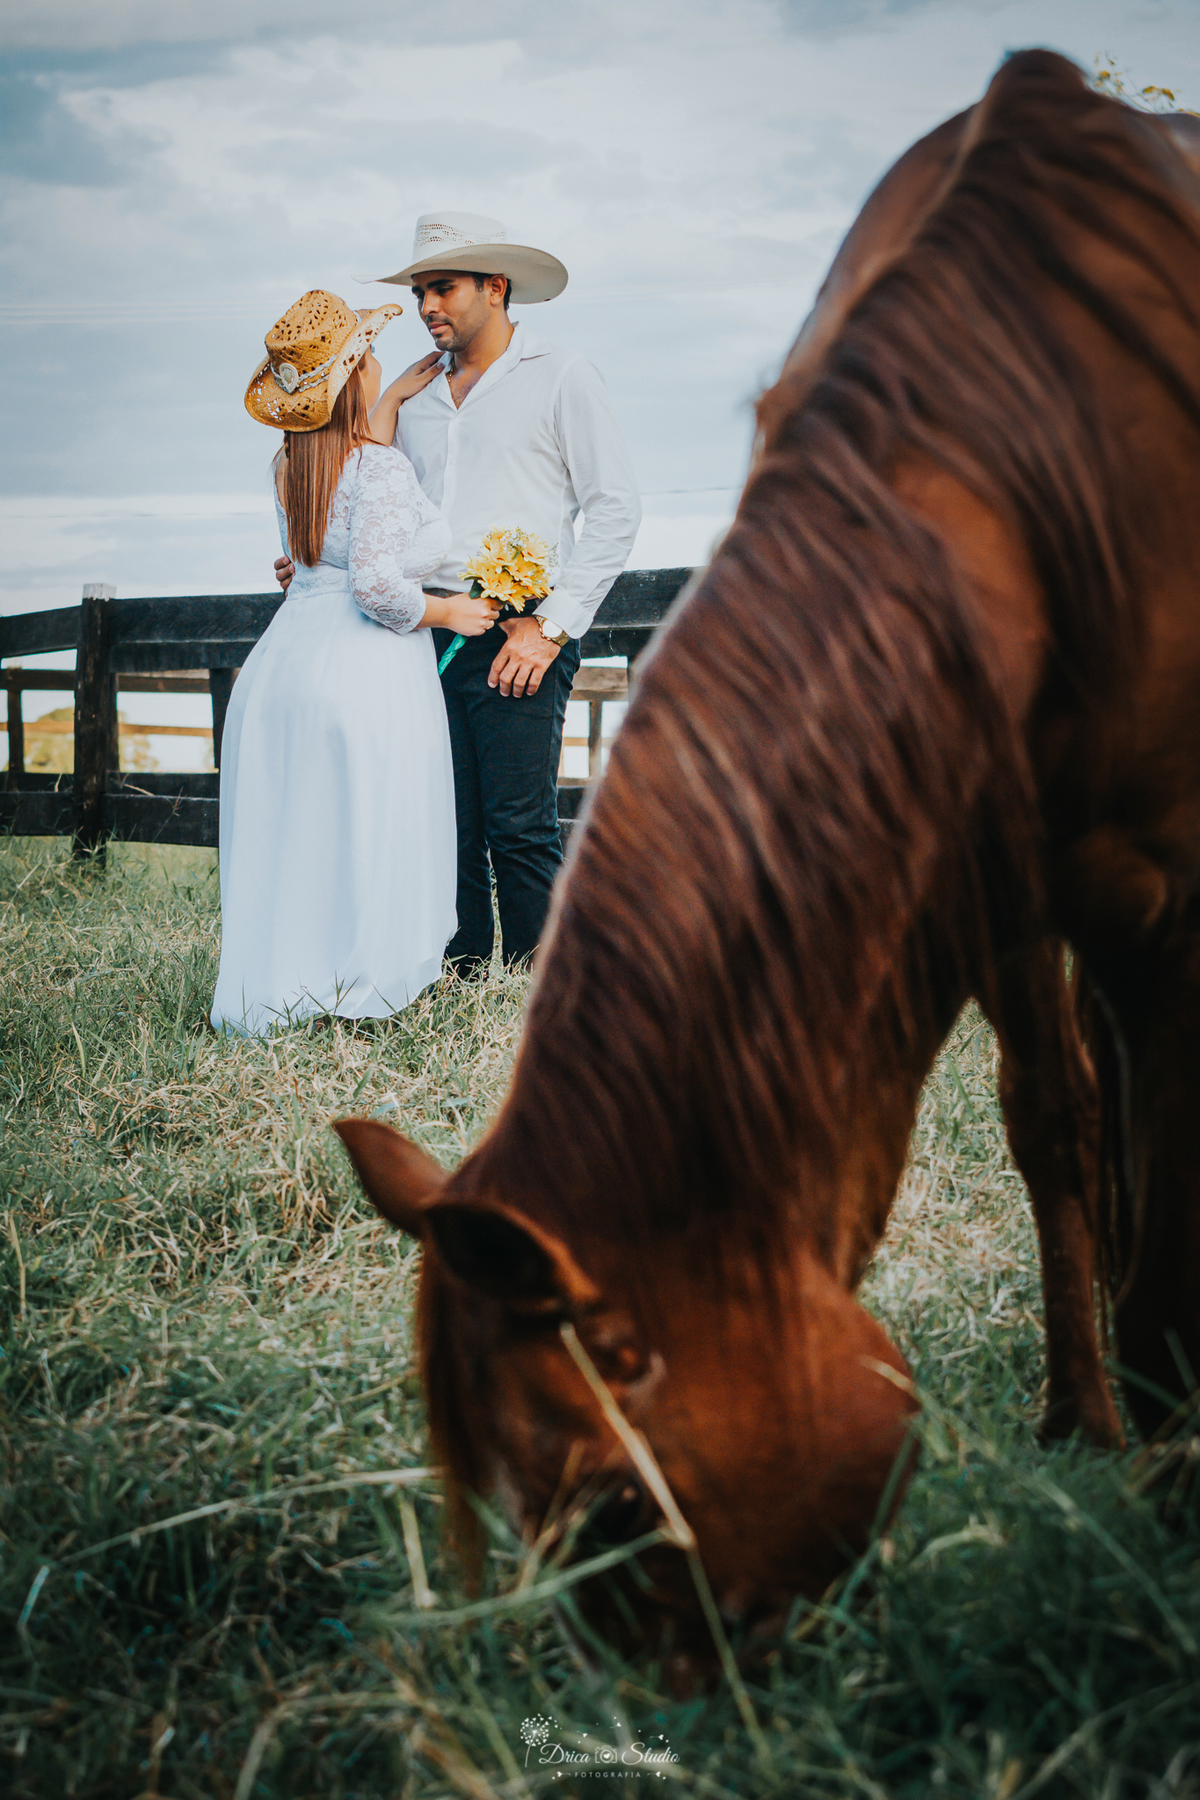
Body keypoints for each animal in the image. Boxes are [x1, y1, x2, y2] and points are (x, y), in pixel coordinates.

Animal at [336, 51, 1200, 1664]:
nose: (694, 1684)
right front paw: (1086, 1418)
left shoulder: (1169, 907)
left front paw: (1169, 1470)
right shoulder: (991, 877)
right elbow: (1055, 1125)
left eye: (616, 1508)